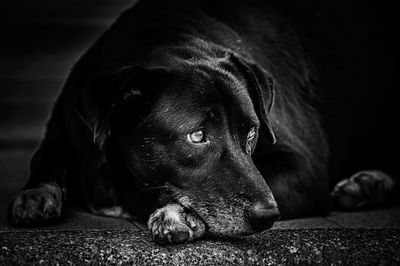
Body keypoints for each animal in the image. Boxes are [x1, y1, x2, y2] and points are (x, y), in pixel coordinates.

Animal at [7, 0, 396, 243]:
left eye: (252, 132)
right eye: (196, 136)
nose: (268, 216)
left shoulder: (303, 168)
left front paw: (178, 214)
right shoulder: (64, 128)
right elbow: (44, 157)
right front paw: (36, 195)